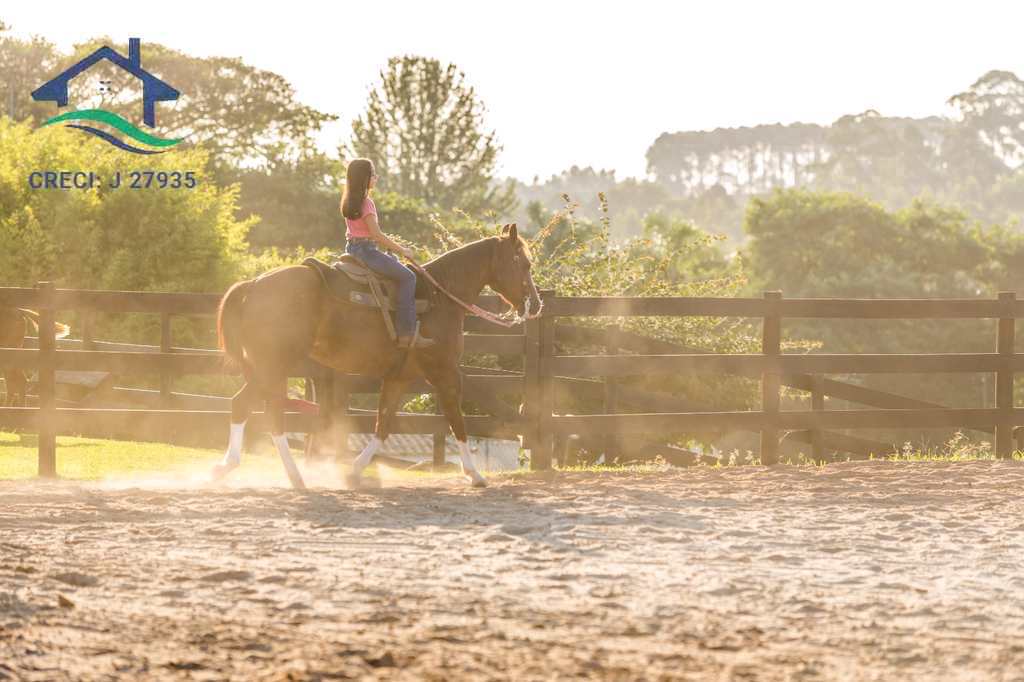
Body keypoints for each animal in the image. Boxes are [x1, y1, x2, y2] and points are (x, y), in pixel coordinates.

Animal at [209, 224, 544, 489]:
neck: (440, 297)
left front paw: (354, 471)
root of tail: (252, 285)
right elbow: (456, 421)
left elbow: (383, 424)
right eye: (524, 264)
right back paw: (285, 475)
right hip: (274, 366)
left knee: (250, 407)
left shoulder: (398, 378)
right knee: (259, 410)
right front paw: (474, 474)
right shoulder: (445, 372)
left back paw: (250, 470)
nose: (537, 304)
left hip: (265, 368)